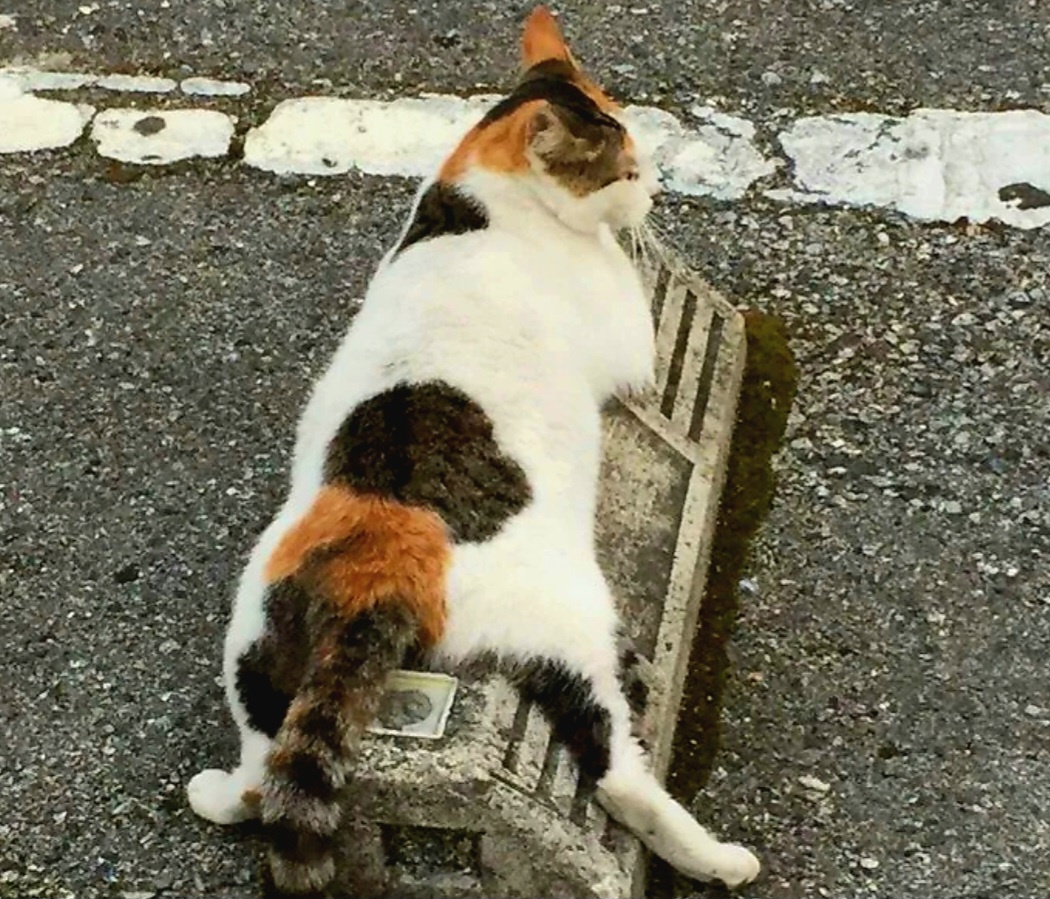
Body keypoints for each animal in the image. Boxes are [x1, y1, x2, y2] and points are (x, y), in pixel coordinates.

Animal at [187, 6, 761, 894]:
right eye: (626, 168)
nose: (656, 189)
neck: (474, 195)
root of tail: (376, 558)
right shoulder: (629, 337)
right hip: (567, 624)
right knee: (614, 771)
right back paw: (718, 857)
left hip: (256, 646)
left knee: (258, 775)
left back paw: (219, 786)